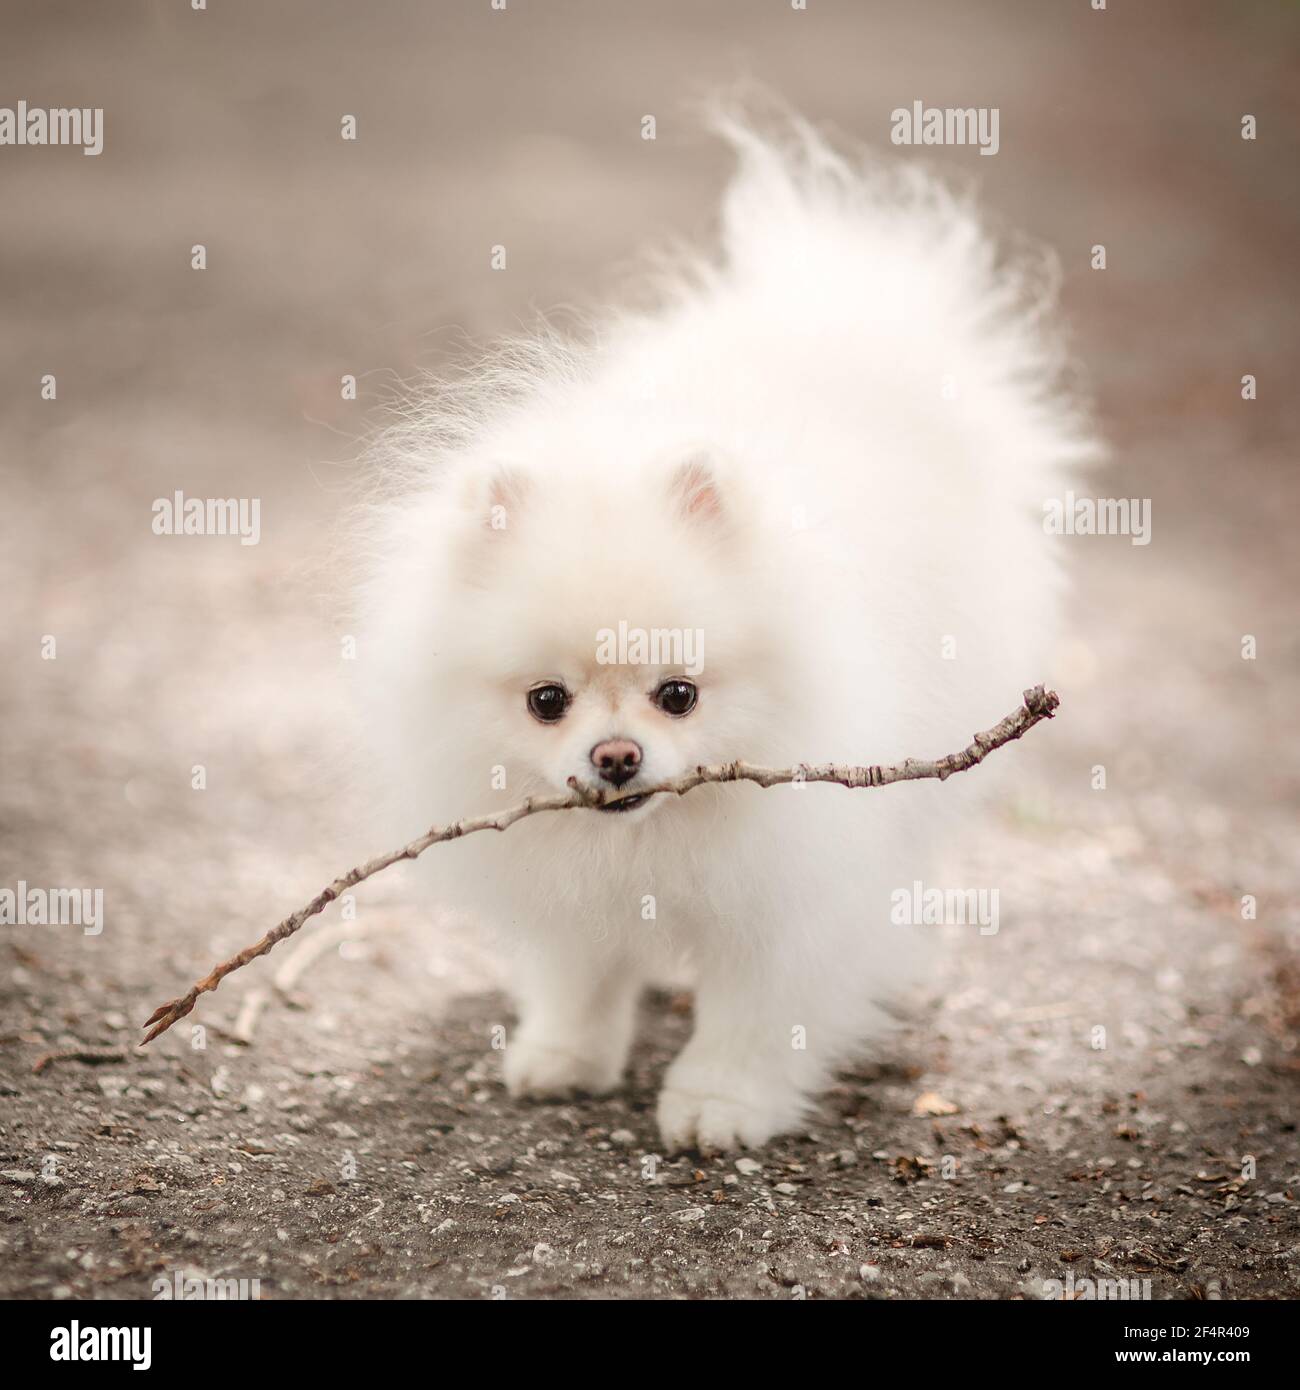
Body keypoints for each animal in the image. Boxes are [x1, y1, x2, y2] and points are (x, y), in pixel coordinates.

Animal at [350, 116, 1095, 1150]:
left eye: (679, 694)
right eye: (547, 701)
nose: (616, 756)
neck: (657, 837)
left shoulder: (795, 886)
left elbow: (758, 1009)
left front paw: (721, 1103)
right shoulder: (566, 876)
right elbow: (581, 966)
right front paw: (565, 1053)